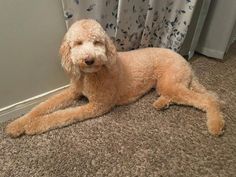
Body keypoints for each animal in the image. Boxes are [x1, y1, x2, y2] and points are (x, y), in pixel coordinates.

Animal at [6, 18, 225, 137]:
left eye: (97, 42)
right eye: (78, 43)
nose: (89, 59)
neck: (90, 75)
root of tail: (184, 60)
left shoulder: (97, 105)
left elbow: (62, 115)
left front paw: (33, 126)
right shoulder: (73, 92)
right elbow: (41, 106)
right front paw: (18, 124)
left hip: (171, 82)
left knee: (208, 100)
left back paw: (216, 124)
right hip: (167, 85)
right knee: (199, 96)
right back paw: (161, 103)